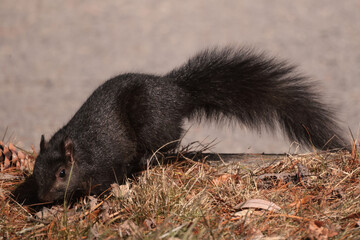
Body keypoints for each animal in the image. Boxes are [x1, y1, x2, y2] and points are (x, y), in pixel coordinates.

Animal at [16, 46, 346, 202]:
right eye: (35, 169)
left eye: (62, 173)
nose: (42, 196)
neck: (82, 152)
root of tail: (177, 93)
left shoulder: (104, 163)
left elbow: (107, 182)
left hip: (151, 121)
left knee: (169, 142)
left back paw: (147, 160)